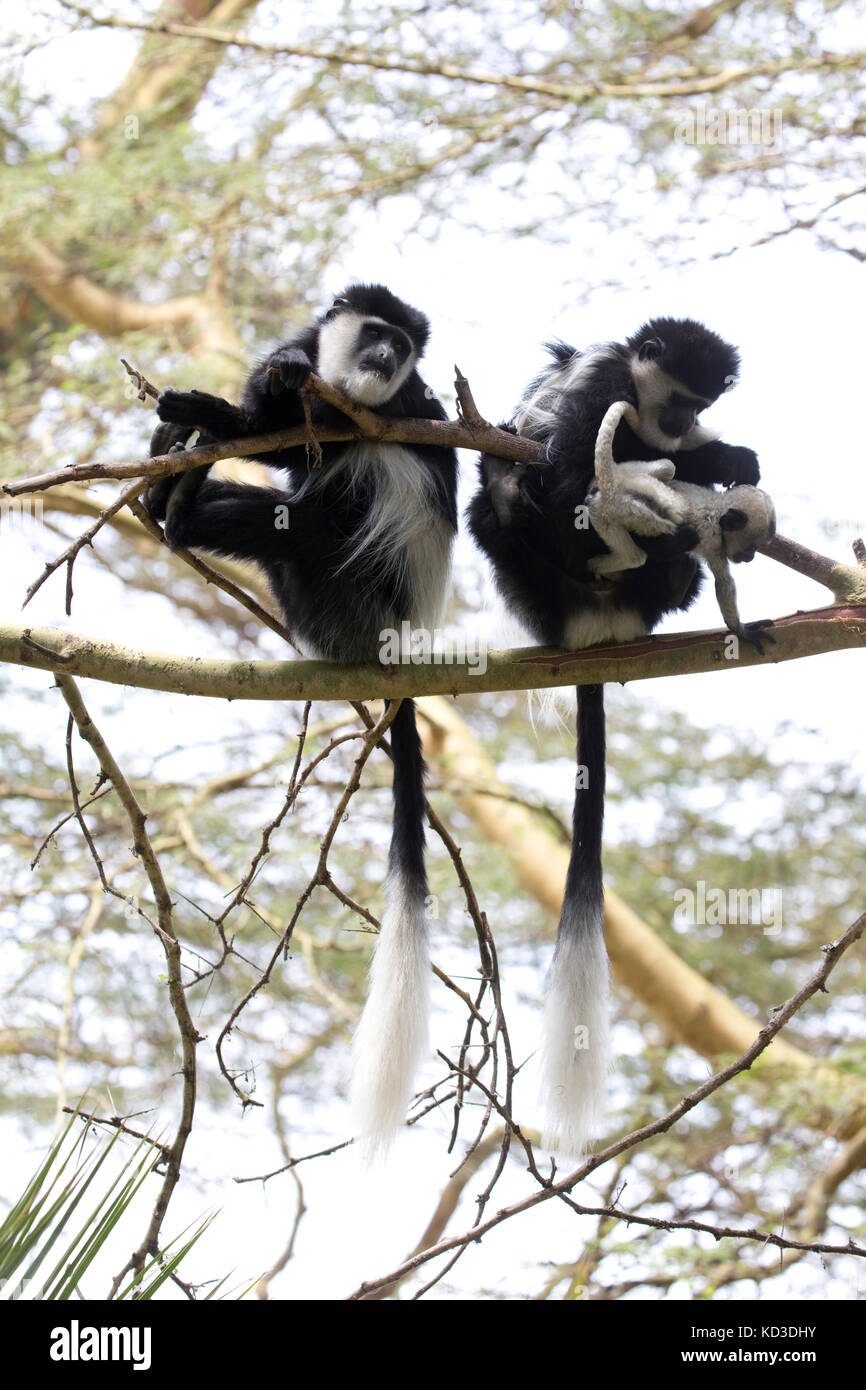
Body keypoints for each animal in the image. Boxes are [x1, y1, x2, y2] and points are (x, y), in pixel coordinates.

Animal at [145, 282, 461, 1150]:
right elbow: (278, 421)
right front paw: (254, 386)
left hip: (347, 588)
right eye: (376, 332)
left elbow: (314, 448)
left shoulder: (397, 410)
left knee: (313, 515)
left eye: (401, 348)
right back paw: (170, 492)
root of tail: (392, 648)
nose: (384, 357)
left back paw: (181, 507)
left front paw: (207, 412)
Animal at [469, 319, 761, 1156]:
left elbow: (696, 459)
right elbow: (568, 471)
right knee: (506, 497)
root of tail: (591, 632)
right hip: (530, 580)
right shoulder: (602, 383)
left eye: (702, 403)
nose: (680, 422)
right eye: (681, 395)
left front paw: (730, 463)